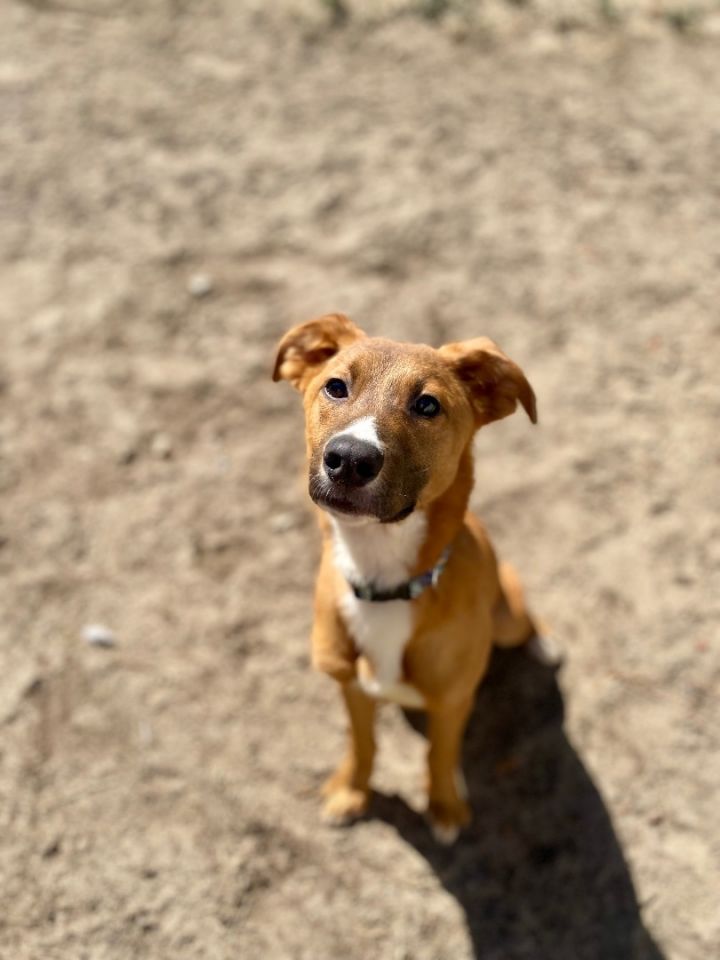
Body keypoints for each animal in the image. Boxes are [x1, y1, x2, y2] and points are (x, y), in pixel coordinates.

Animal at [272, 314, 548, 840]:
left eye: (427, 404)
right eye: (335, 386)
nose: (350, 459)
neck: (382, 578)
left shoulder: (452, 701)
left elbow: (440, 753)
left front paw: (445, 808)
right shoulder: (350, 685)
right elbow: (362, 744)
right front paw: (351, 791)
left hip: (507, 620)